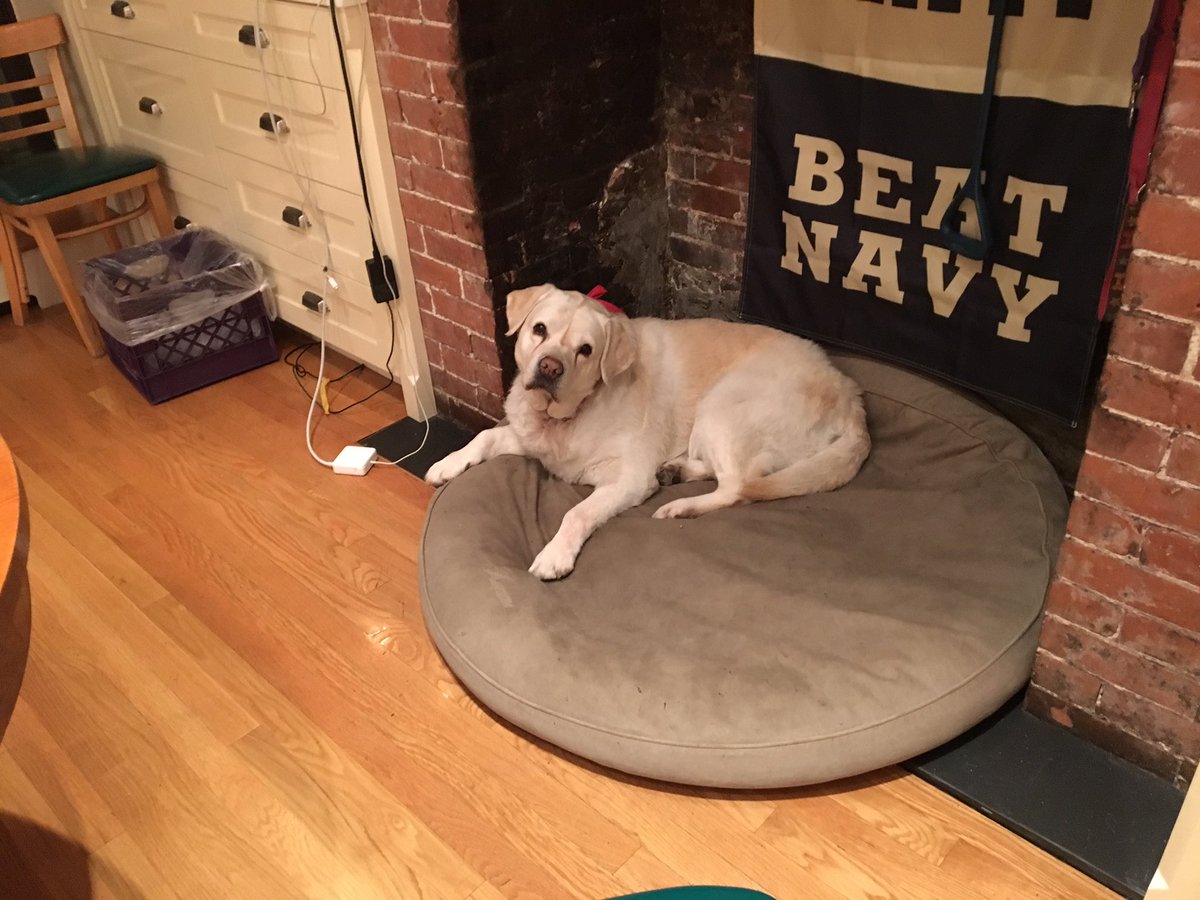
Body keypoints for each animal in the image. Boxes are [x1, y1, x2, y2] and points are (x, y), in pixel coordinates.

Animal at [425, 284, 870, 581]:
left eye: (586, 350)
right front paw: (447, 464)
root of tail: (851, 398)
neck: (563, 418)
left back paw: (680, 506)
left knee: (738, 487)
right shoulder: (527, 435)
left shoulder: (628, 478)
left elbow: (576, 512)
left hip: (722, 407)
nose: (550, 367)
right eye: (539, 329)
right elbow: (483, 437)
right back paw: (677, 471)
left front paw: (555, 554)